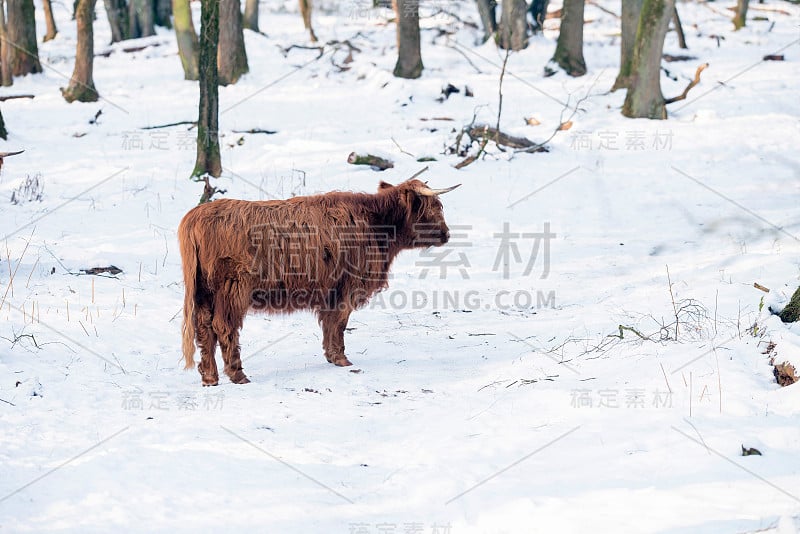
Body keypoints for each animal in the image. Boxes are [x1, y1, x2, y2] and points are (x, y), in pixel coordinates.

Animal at [179, 179, 460, 386]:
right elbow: (338, 323)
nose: (447, 234)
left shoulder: (331, 291)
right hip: (232, 288)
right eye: (433, 207)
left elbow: (329, 324)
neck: (376, 225)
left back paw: (210, 377)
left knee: (204, 329)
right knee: (223, 326)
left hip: (203, 292)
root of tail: (195, 216)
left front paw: (332, 356)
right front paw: (341, 359)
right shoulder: (346, 287)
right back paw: (238, 375)